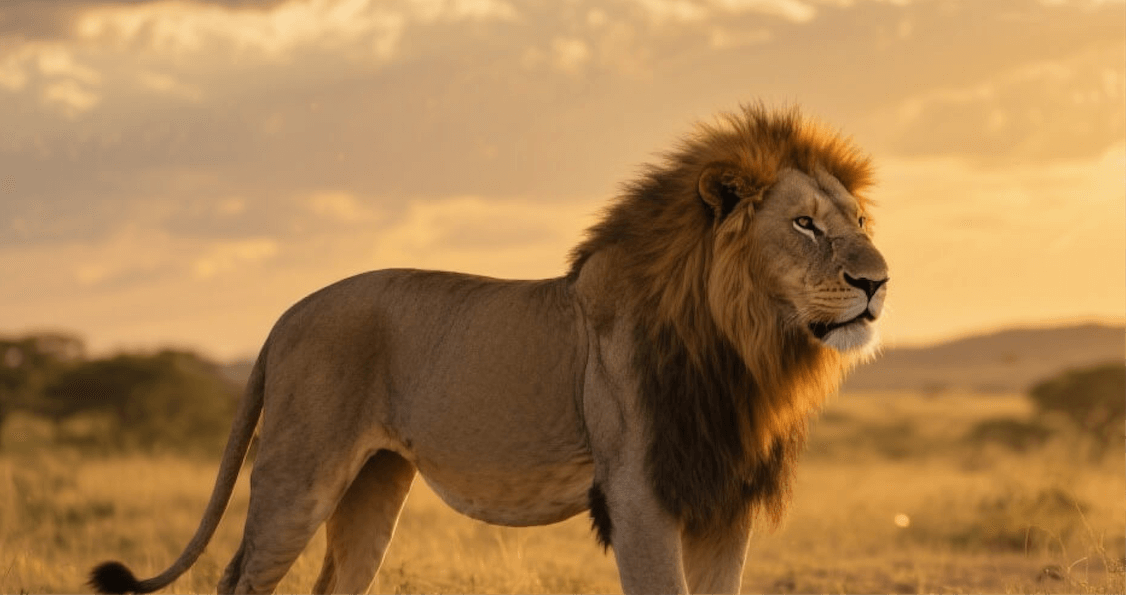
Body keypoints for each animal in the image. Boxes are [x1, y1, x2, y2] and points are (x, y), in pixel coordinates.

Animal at [90, 104, 888, 595]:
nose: (877, 281)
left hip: (374, 481)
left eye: (857, 220)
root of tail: (288, 312)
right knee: (241, 578)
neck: (742, 347)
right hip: (299, 474)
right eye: (805, 225)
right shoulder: (639, 494)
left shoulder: (725, 499)